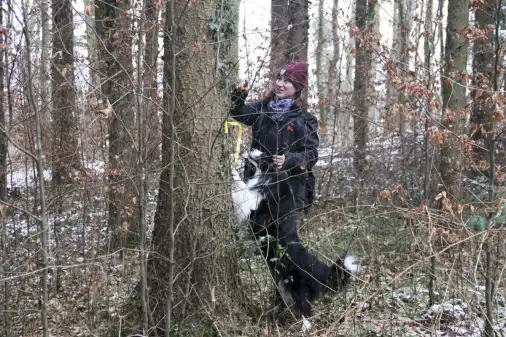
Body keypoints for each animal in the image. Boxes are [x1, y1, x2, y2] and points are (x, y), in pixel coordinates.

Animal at [229, 149, 360, 330]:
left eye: (263, 155)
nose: (250, 149)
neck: (270, 175)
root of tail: (317, 268)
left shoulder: (250, 207)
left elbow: (240, 187)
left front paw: (231, 167)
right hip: (284, 286)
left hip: (296, 289)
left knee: (307, 313)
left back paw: (303, 328)